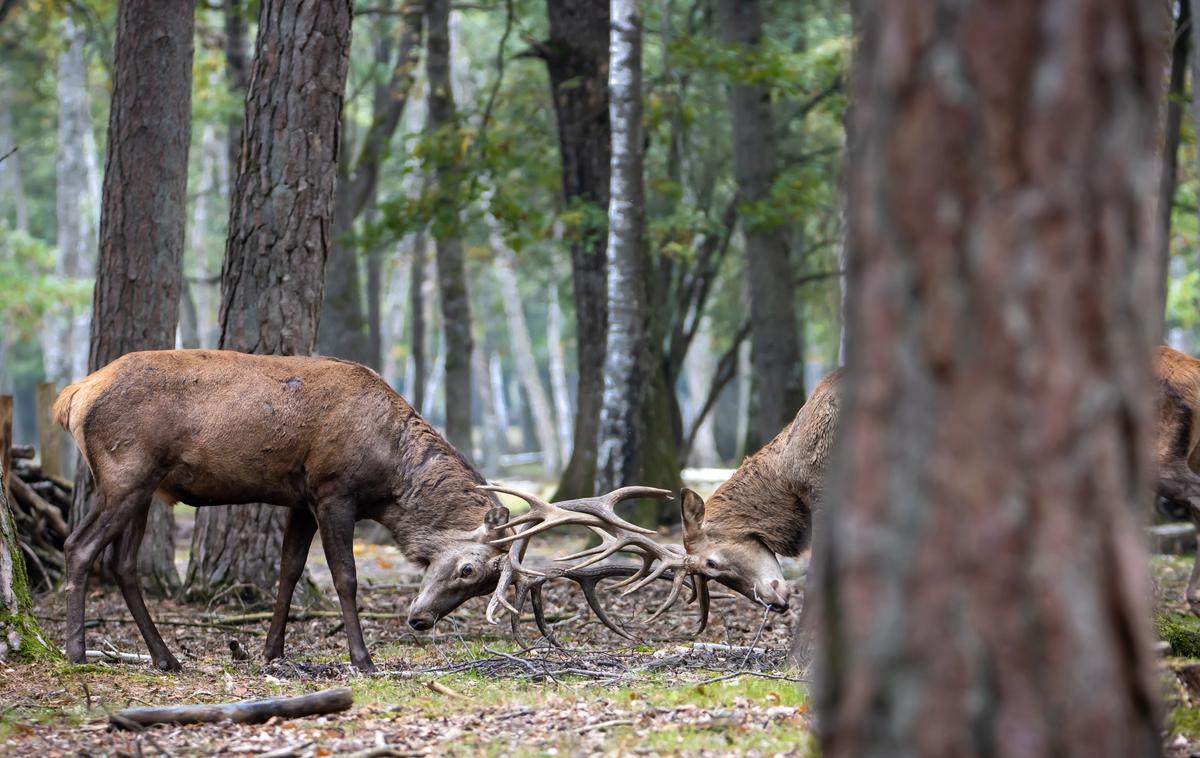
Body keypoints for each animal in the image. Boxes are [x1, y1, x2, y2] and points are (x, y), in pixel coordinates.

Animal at [54, 345, 513, 671]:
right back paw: (77, 653)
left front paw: (272, 652)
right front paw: (362, 659)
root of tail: (72, 398)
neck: (389, 479)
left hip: (144, 486)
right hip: (125, 473)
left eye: (484, 586)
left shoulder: (302, 501)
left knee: (123, 563)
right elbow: (344, 576)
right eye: (469, 569)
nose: (421, 621)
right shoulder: (333, 491)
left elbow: (289, 569)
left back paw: (166, 658)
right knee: (78, 545)